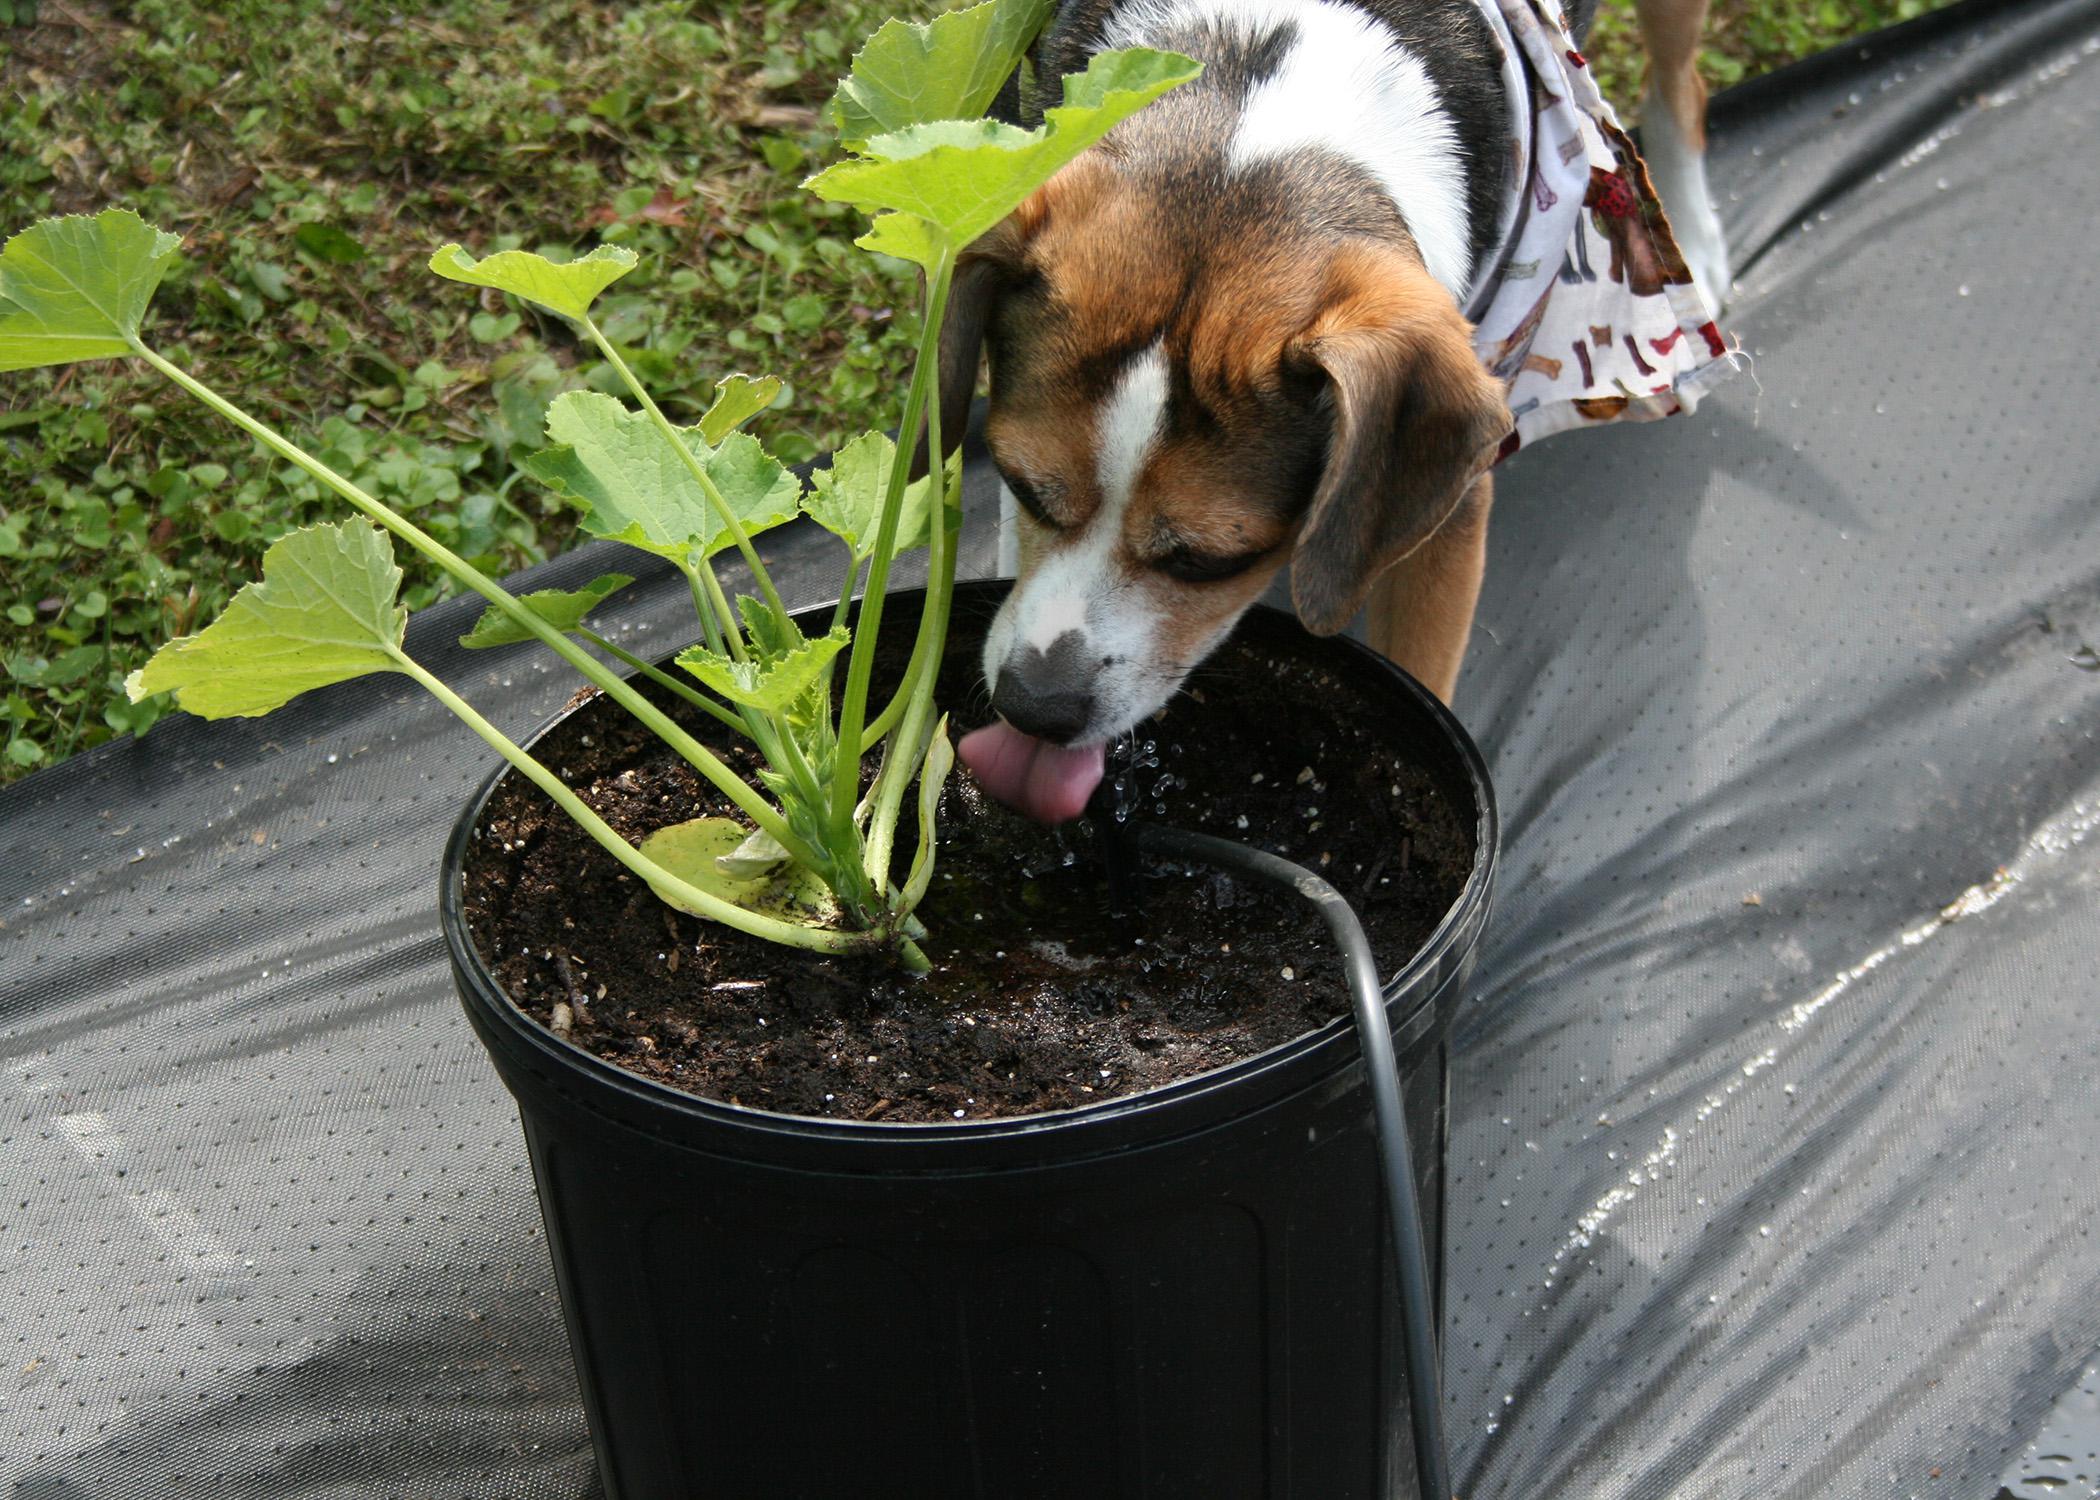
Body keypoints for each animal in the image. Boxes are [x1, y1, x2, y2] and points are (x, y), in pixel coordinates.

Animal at [957, 0, 1738, 819]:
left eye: (1210, 561)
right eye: (1019, 488)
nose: (1033, 707)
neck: (1253, 82)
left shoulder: (1447, 517)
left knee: (1682, 85)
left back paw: (1696, 245)